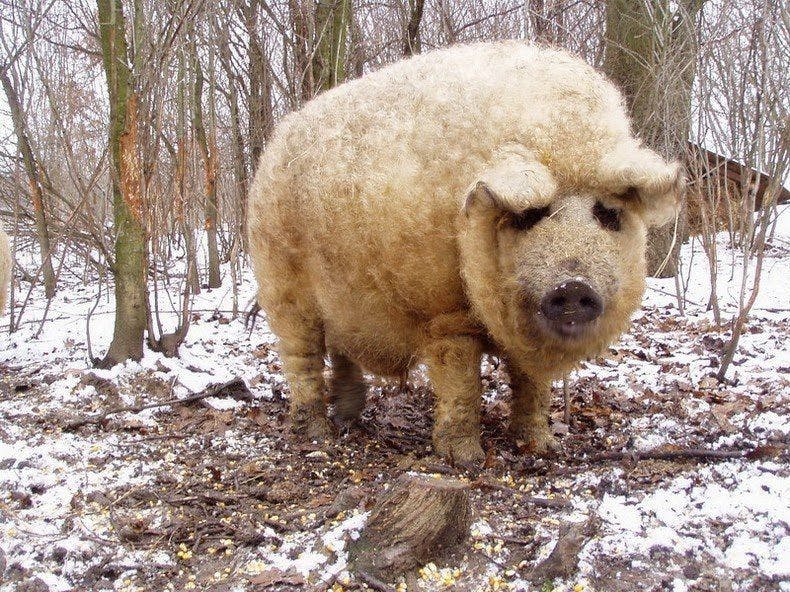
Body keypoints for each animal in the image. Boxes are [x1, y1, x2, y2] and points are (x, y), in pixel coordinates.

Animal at [247, 41, 683, 464]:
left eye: (608, 214)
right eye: (530, 215)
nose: (573, 284)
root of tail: (273, 145)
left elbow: (532, 384)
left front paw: (542, 447)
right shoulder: (444, 312)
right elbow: (462, 382)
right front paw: (466, 459)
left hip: (340, 298)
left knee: (340, 351)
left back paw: (350, 418)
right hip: (282, 285)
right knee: (301, 358)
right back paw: (316, 436)